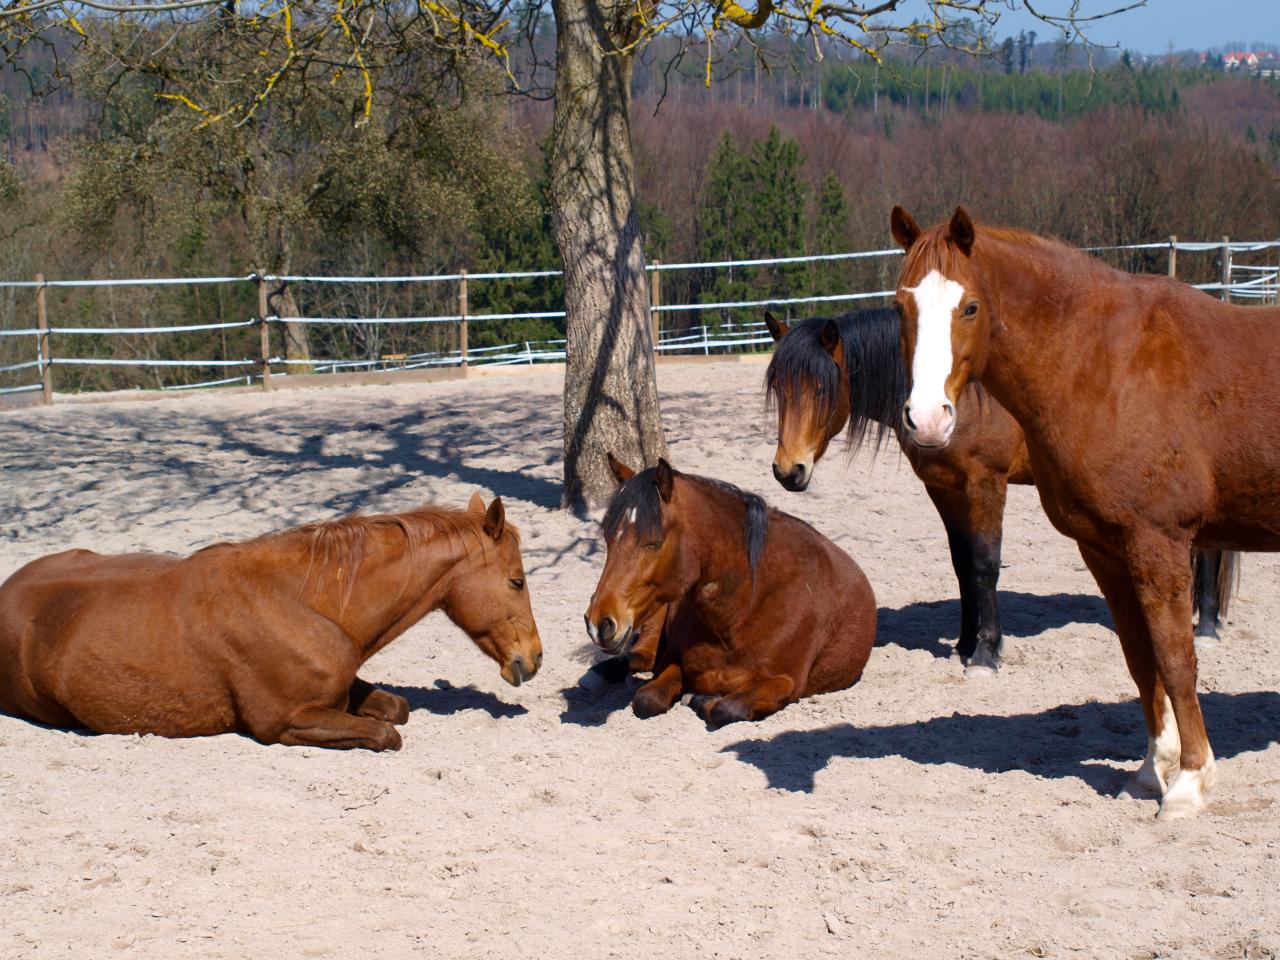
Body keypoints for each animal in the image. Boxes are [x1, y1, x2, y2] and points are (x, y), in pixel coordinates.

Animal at [0, 493, 542, 750]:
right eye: (516, 581)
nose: (533, 659)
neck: (303, 603)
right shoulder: (285, 721)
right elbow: (387, 733)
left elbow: (396, 708)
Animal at [582, 454, 877, 728]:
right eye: (608, 538)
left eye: (653, 542)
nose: (599, 623)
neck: (743, 609)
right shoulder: (673, 659)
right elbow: (647, 699)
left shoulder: (787, 683)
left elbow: (727, 708)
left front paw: (699, 699)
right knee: (641, 655)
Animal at [763, 310, 1238, 673]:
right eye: (779, 390)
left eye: (821, 389)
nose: (789, 470)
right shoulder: (945, 488)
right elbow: (962, 565)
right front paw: (963, 644)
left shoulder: (985, 482)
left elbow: (985, 564)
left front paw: (986, 653)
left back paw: (1206, 629)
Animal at [891, 205, 1279, 818]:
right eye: (900, 308)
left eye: (969, 307)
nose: (927, 419)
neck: (1104, 366)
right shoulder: (1105, 550)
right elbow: (1140, 660)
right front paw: (1150, 771)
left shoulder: (1157, 543)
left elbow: (1176, 659)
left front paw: (1190, 782)